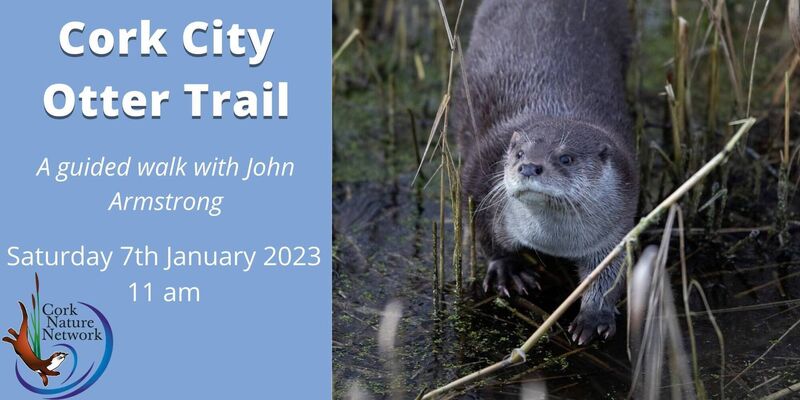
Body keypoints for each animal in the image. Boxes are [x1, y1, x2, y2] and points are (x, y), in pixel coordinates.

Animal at [455, 0, 638, 345]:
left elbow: (610, 272)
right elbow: (483, 233)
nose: (529, 166)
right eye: (518, 153)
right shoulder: (477, 179)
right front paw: (507, 269)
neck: (554, 242)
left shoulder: (619, 222)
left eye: (565, 158)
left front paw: (594, 316)